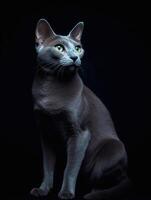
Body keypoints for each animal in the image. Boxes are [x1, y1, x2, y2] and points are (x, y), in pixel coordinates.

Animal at [30, 18, 130, 198]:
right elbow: (47, 166)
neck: (51, 88)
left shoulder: (80, 134)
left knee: (104, 181)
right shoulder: (46, 133)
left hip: (114, 149)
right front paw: (42, 189)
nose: (75, 56)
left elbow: (70, 168)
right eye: (59, 47)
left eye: (78, 48)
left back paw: (92, 194)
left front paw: (66, 193)